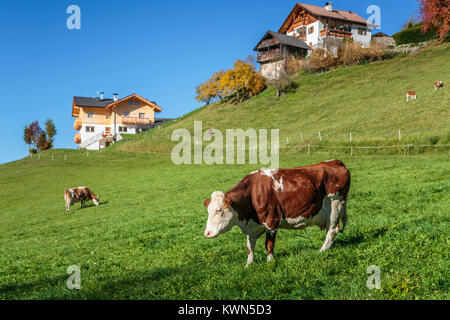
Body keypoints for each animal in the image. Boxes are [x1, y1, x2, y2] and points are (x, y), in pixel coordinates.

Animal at [203, 160, 352, 268]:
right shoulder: (253, 226)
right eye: (208, 211)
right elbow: (250, 246)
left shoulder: (272, 221)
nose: (207, 233)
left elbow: (269, 244)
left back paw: (321, 251)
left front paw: (270, 262)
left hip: (335, 204)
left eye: (219, 210)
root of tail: (335, 162)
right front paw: (248, 264)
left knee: (332, 231)